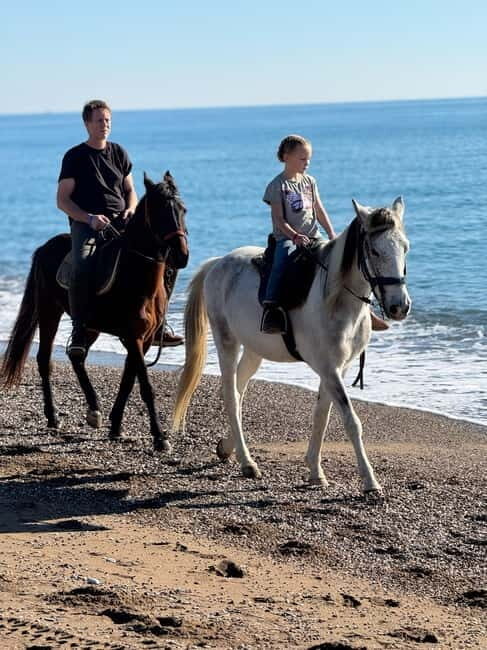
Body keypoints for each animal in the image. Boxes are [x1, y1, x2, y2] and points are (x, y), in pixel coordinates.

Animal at [1, 172, 188, 451]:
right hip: (49, 311)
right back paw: (53, 417)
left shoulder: (143, 340)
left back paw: (94, 409)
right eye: (158, 210)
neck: (136, 276)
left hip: (90, 326)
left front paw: (116, 426)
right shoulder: (133, 336)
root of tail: (44, 248)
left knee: (77, 357)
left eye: (183, 209)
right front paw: (159, 437)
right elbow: (145, 385)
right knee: (45, 359)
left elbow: (128, 380)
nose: (181, 255)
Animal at [172, 197, 410, 495]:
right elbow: (350, 420)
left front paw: (315, 472)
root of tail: (218, 264)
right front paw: (369, 481)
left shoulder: (338, 368)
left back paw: (228, 448)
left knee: (238, 391)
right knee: (230, 395)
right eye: (376, 252)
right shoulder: (328, 368)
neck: (337, 300)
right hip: (226, 341)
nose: (400, 307)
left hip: (254, 351)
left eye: (405, 247)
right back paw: (247, 463)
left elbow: (322, 415)